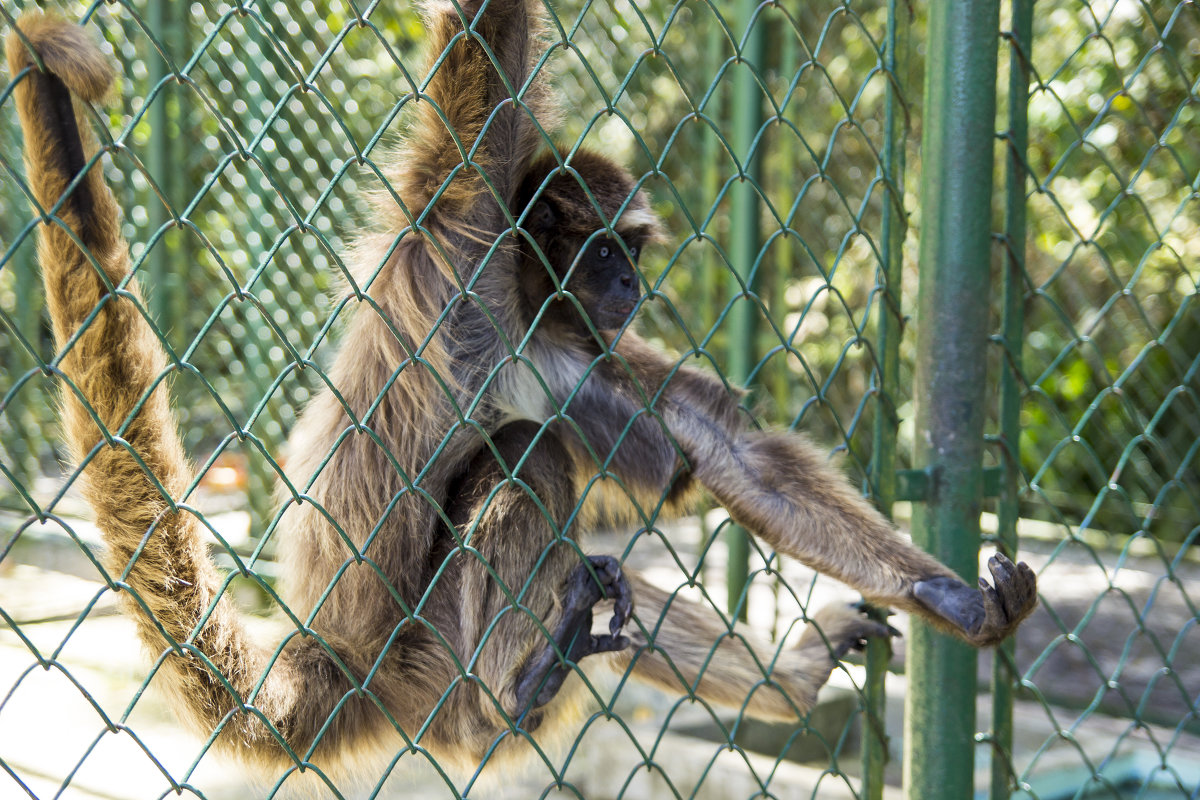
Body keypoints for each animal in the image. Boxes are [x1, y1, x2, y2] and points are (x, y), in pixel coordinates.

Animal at [4, 0, 1036, 777]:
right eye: (606, 251)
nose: (631, 286)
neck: (518, 314)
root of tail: (336, 663)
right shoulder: (462, 225)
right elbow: (486, 48)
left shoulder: (578, 350)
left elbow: (731, 455)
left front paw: (953, 599)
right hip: (434, 662)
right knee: (525, 457)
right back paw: (515, 693)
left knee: (599, 564)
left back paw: (787, 679)